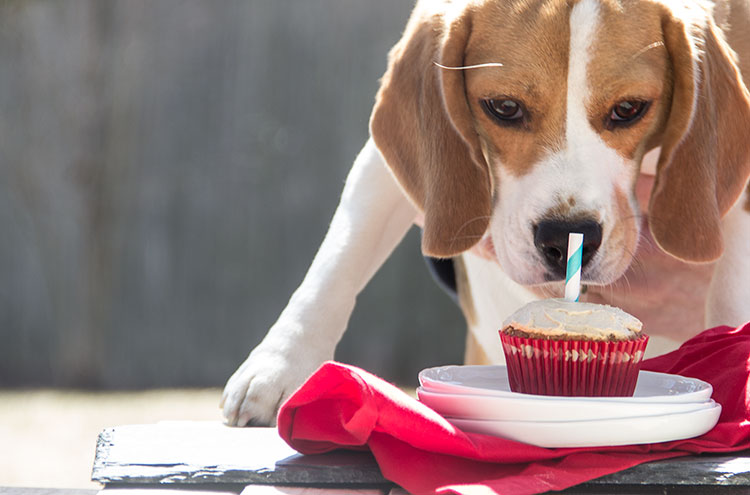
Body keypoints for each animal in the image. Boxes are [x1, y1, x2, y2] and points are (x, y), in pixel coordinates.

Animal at [222, 0, 750, 426]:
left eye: (628, 109)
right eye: (504, 107)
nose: (566, 238)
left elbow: (730, 292)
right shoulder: (380, 165)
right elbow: (339, 259)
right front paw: (278, 368)